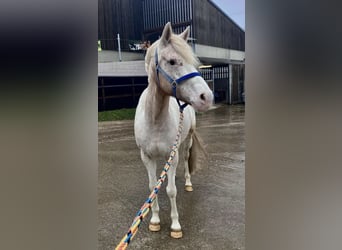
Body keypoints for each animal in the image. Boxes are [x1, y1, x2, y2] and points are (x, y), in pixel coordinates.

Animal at [134, 22, 212, 238]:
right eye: (172, 61)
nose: (207, 97)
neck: (154, 119)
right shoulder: (146, 157)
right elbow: (153, 187)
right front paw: (154, 220)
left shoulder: (173, 153)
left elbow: (171, 191)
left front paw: (175, 225)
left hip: (186, 142)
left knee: (185, 161)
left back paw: (187, 183)